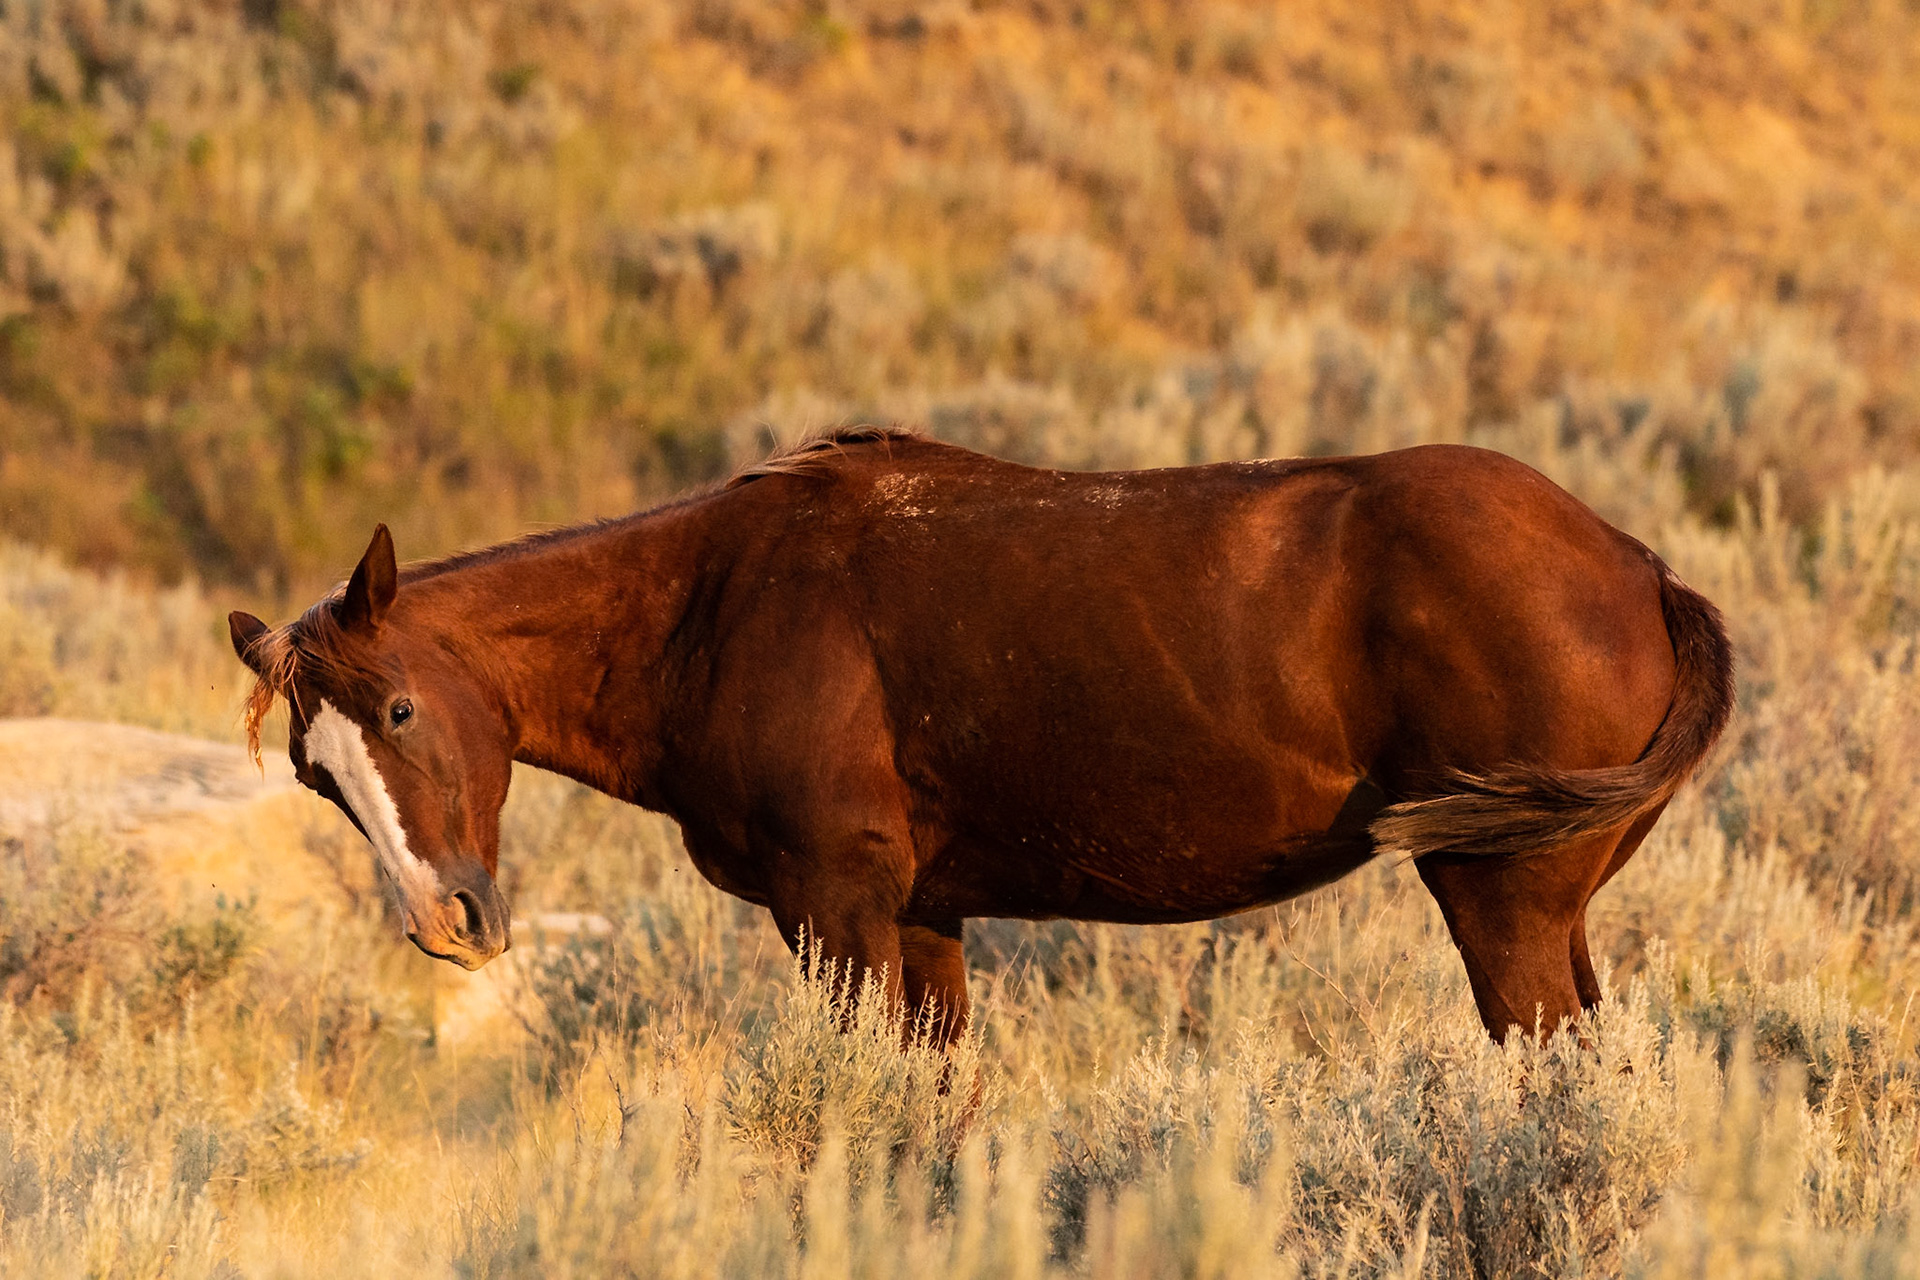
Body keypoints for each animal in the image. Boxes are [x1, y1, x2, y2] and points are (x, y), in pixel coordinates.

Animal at [228, 426, 1733, 1043]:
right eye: (316, 775)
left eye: (403, 709)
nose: (450, 922)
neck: (716, 600)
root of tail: (1635, 564)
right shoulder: (921, 920)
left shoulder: (834, 909)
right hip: (1556, 915)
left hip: (1504, 908)